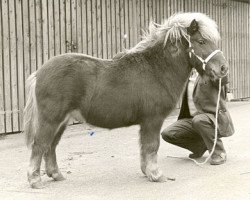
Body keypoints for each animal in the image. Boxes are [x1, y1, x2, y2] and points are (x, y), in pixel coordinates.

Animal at [23, 12, 229, 188]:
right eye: (201, 41)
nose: (223, 69)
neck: (157, 69)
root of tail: (39, 73)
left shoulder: (146, 123)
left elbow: (144, 148)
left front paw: (147, 172)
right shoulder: (153, 120)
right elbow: (152, 146)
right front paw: (156, 175)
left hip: (62, 121)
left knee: (50, 146)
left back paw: (56, 175)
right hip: (51, 119)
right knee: (39, 145)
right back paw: (35, 180)